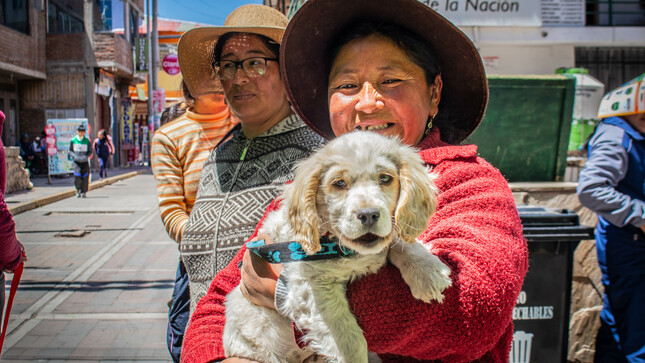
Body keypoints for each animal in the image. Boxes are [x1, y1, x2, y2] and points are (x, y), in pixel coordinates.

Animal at [224, 132, 450, 363]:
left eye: (385, 178)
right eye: (339, 183)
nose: (368, 214)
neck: (346, 250)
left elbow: (396, 239)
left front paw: (427, 272)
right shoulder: (310, 286)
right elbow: (349, 342)